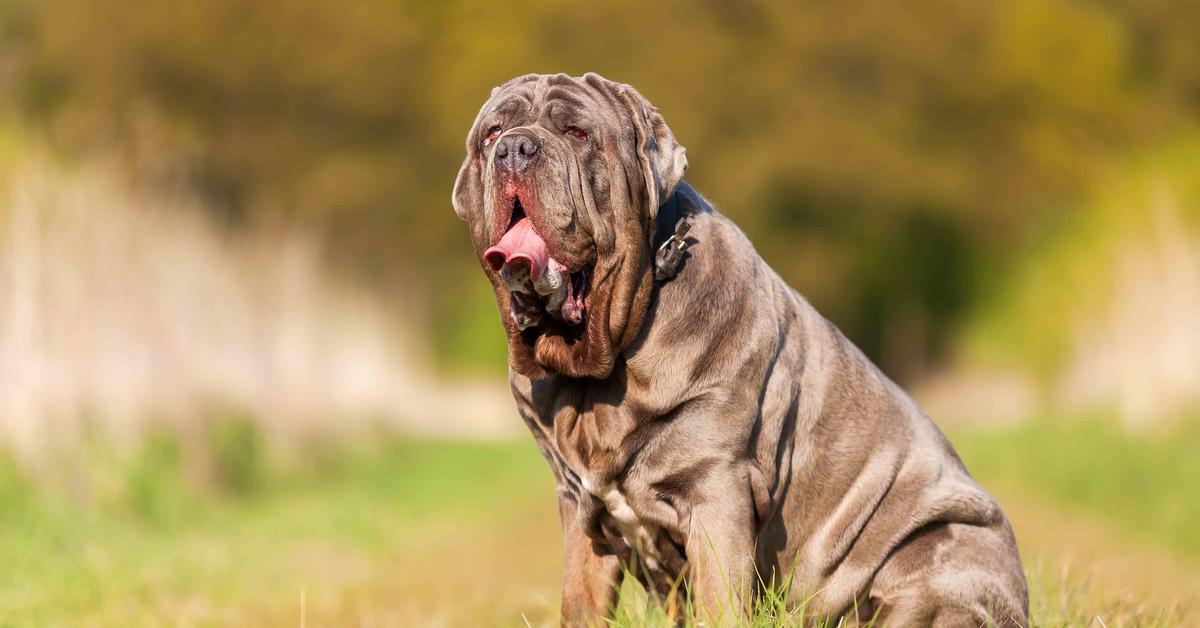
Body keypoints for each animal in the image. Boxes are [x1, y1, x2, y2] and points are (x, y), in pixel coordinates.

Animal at [451, 72, 1032, 624]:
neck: (600, 368)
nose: (516, 148)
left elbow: (719, 600)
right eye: (492, 134)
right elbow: (582, 603)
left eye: (577, 133)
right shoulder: (580, 508)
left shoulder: (717, 491)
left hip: (939, 556)